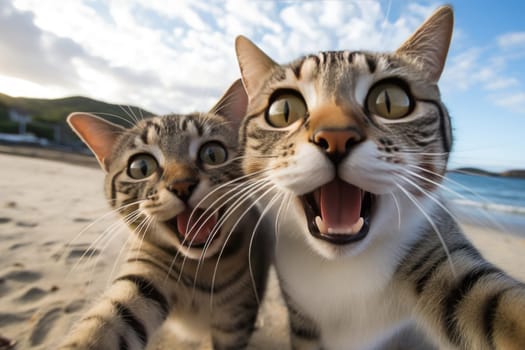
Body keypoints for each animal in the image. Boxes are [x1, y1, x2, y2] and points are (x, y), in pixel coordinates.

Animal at [57, 79, 272, 350]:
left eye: (213, 153)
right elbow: (104, 323)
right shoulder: (144, 276)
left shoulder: (235, 322)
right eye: (141, 167)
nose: (182, 185)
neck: (200, 266)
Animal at [232, 5, 524, 350]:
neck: (341, 268)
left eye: (391, 102)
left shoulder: (440, 252)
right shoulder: (302, 322)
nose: (335, 137)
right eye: (283, 110)